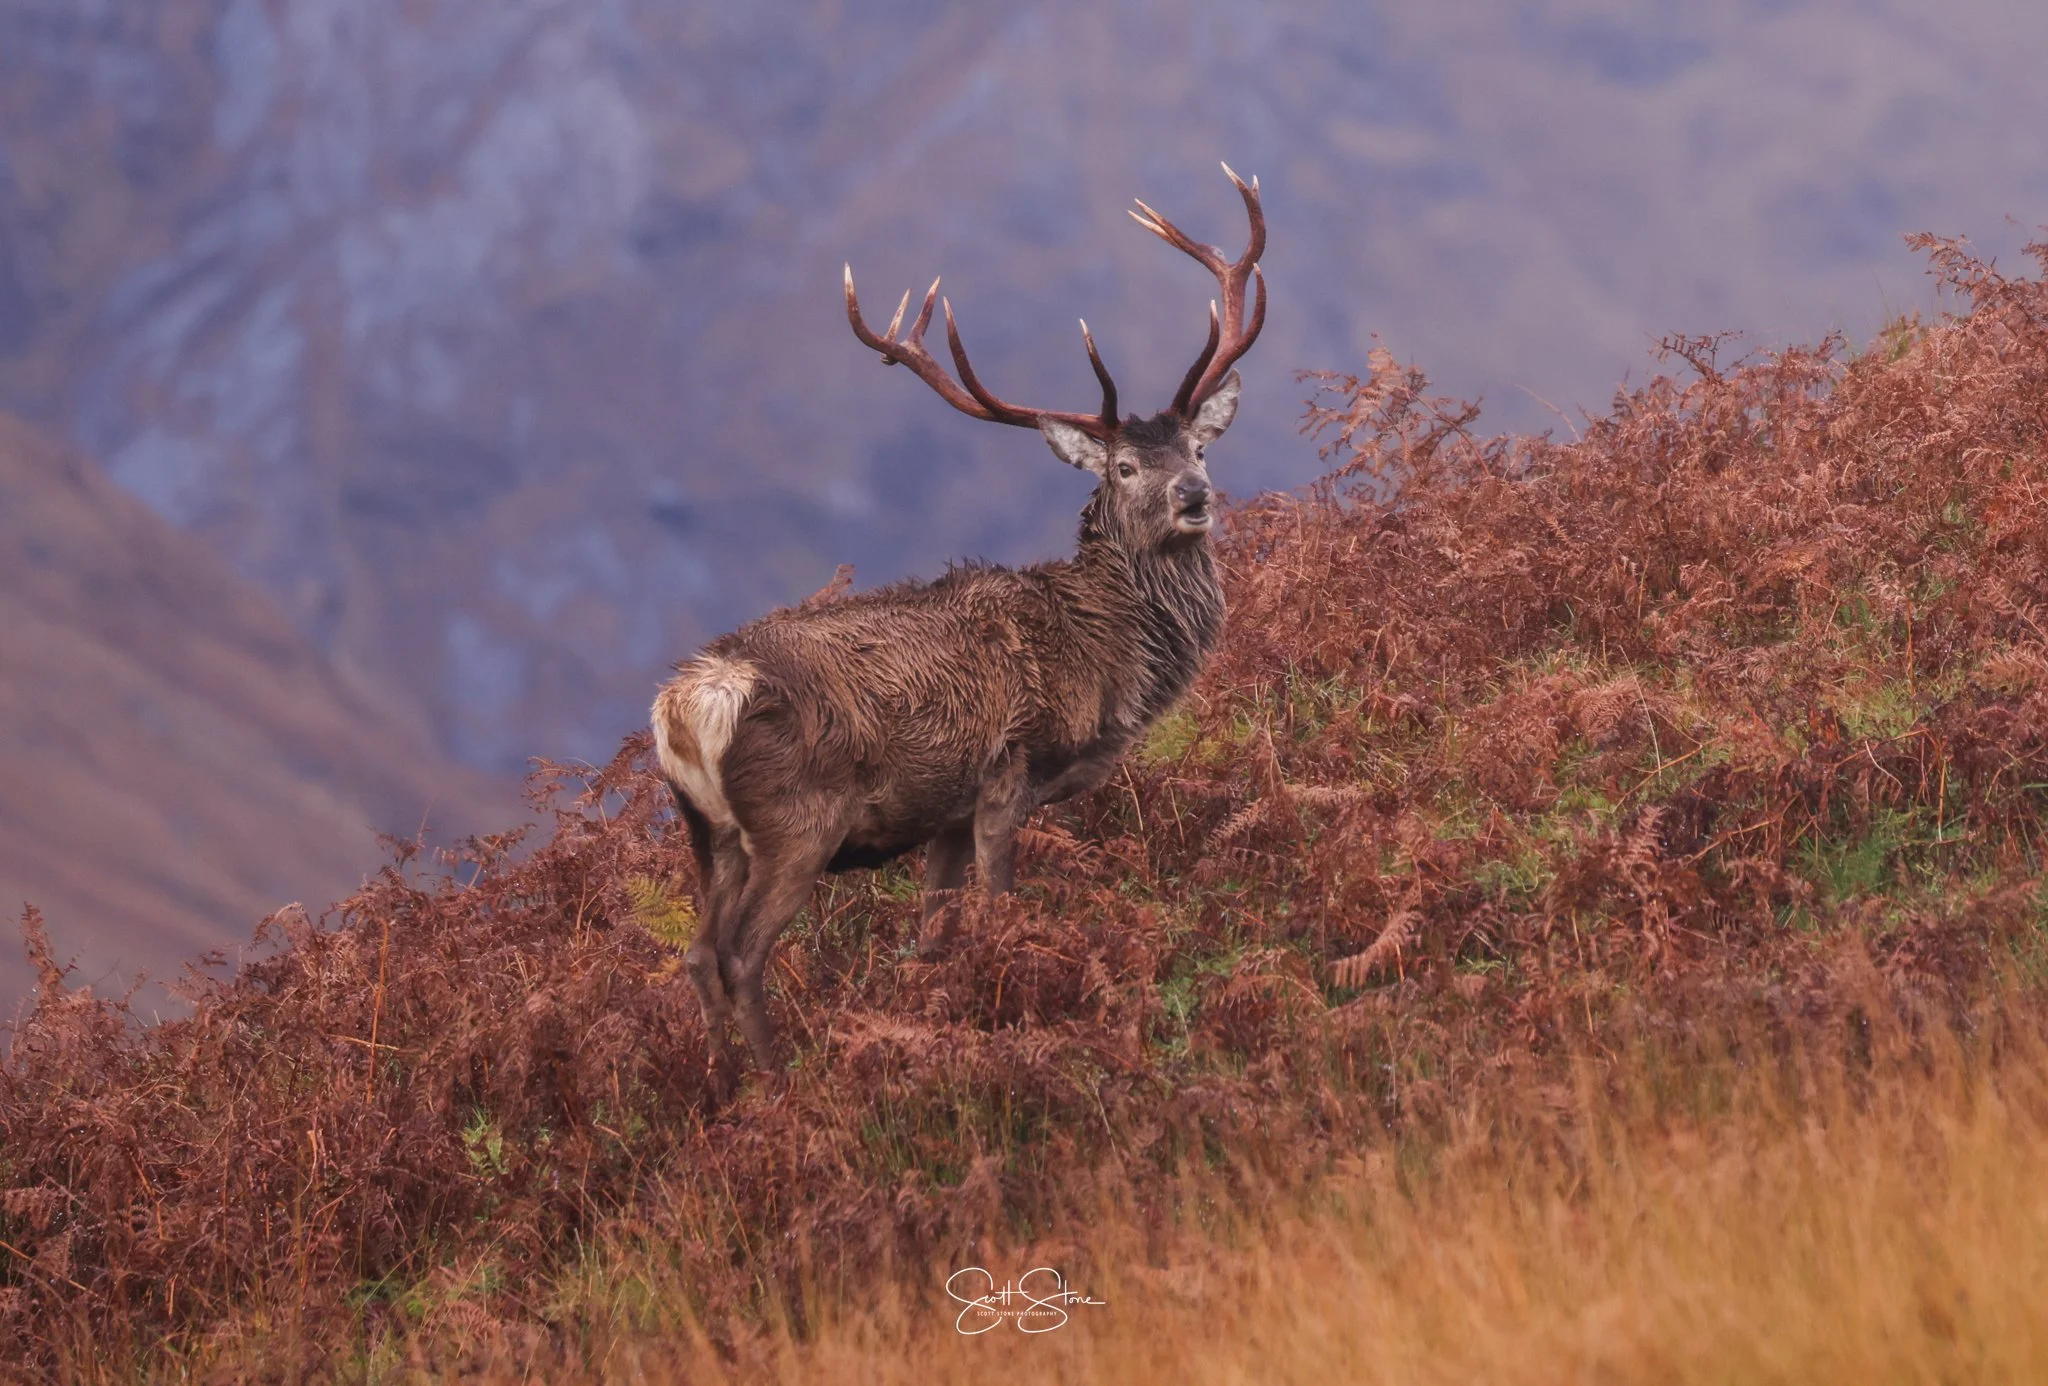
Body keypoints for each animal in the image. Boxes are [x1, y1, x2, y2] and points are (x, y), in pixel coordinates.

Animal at [652, 164, 1265, 1084]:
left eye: (1199, 449)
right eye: (1125, 467)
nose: (1195, 497)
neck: (1101, 658)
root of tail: (686, 706)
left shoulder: (941, 811)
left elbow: (931, 937)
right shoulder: (1008, 772)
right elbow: (999, 909)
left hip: (707, 831)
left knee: (693, 953)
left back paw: (724, 1085)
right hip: (796, 820)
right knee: (740, 952)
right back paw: (776, 1084)